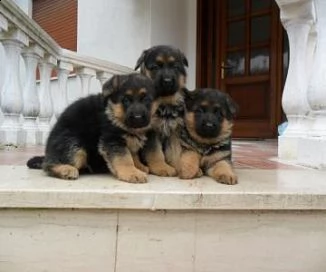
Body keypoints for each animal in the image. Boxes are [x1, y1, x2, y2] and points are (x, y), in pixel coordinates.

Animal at [26, 73, 157, 183]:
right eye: (125, 100)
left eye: (147, 100)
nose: (138, 117)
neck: (113, 112)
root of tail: (49, 151)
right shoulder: (112, 140)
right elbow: (124, 157)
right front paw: (132, 173)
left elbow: (132, 155)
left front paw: (139, 167)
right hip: (75, 147)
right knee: (48, 164)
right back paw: (66, 169)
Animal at [134, 45, 188, 176]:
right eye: (155, 67)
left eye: (175, 67)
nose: (167, 81)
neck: (164, 101)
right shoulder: (151, 131)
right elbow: (155, 152)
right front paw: (161, 167)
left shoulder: (175, 131)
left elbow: (176, 151)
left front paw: (179, 166)